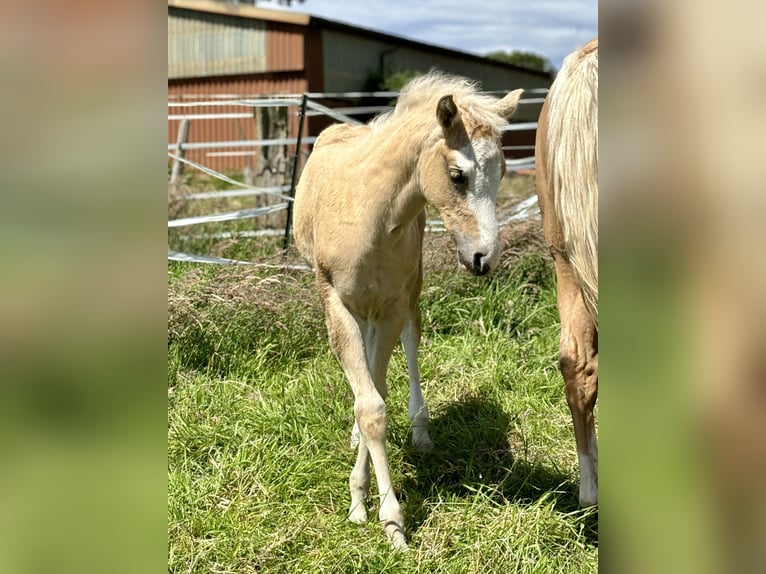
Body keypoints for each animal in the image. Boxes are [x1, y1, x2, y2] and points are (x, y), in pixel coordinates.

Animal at [292, 74, 520, 552]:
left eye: (503, 173)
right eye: (457, 175)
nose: (484, 258)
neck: (370, 215)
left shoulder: (394, 304)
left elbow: (377, 393)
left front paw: (374, 508)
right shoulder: (335, 300)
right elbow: (371, 405)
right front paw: (380, 515)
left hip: (408, 295)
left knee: (410, 345)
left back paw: (420, 429)